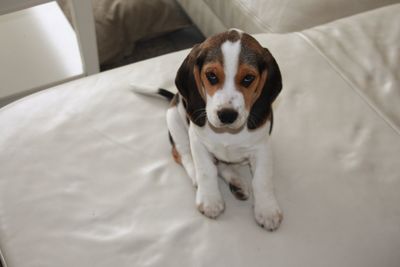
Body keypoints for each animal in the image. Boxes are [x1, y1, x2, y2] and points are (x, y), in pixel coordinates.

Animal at [137, 28, 282, 230]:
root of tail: (173, 96)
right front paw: (210, 200)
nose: (227, 115)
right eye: (211, 75)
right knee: (182, 154)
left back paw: (236, 183)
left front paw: (267, 210)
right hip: (174, 120)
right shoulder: (198, 141)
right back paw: (198, 177)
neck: (229, 133)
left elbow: (262, 178)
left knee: (221, 164)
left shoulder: (263, 147)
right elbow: (206, 170)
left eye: (248, 78)